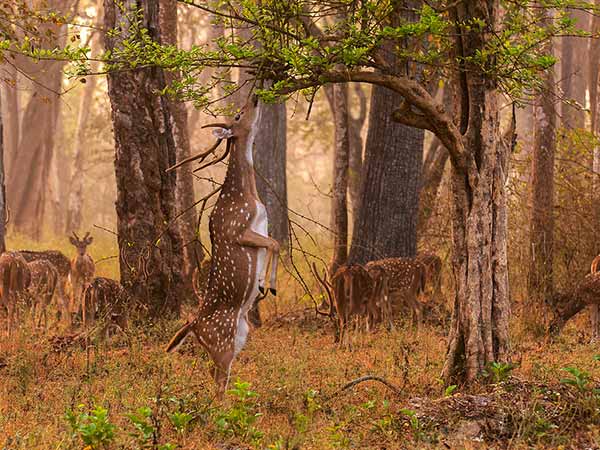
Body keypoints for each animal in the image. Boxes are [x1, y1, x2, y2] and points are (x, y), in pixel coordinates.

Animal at [165, 99, 280, 398]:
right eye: (238, 116)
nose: (255, 98)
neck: (248, 195)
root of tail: (193, 324)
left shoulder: (261, 228)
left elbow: (274, 244)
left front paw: (262, 283)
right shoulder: (238, 230)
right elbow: (274, 244)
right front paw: (269, 285)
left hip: (239, 336)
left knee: (214, 376)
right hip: (222, 341)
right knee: (218, 382)